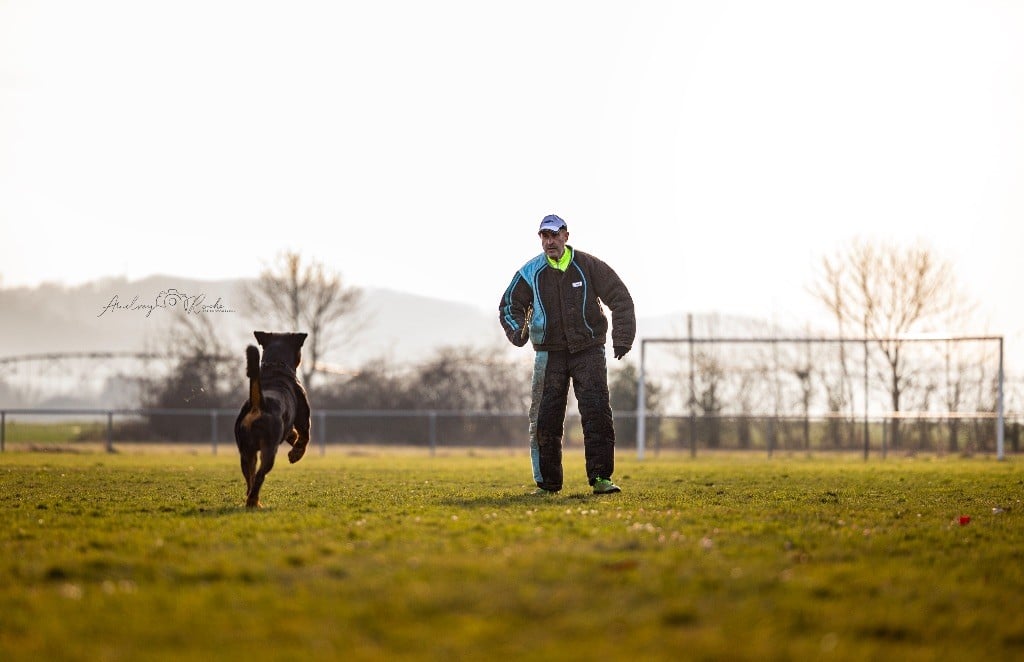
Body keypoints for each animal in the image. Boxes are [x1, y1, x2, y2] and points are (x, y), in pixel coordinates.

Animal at [234, 334, 309, 510]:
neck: (276, 367)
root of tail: (258, 403)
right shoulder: (303, 418)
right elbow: (304, 438)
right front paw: (295, 454)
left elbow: (292, 434)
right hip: (268, 450)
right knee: (259, 476)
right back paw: (254, 502)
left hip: (246, 453)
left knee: (250, 479)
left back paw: (252, 501)